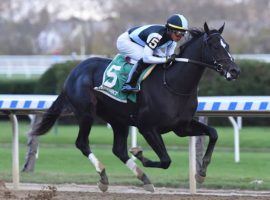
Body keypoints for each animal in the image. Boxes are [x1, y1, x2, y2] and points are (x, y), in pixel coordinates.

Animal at [31, 23, 240, 192]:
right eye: (214, 46)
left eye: (227, 46)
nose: (234, 70)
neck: (173, 84)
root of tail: (74, 72)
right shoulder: (148, 128)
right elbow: (166, 160)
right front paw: (140, 153)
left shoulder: (182, 126)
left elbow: (213, 133)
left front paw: (201, 172)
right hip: (86, 113)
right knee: (82, 143)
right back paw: (103, 175)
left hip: (118, 120)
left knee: (119, 150)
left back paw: (143, 178)